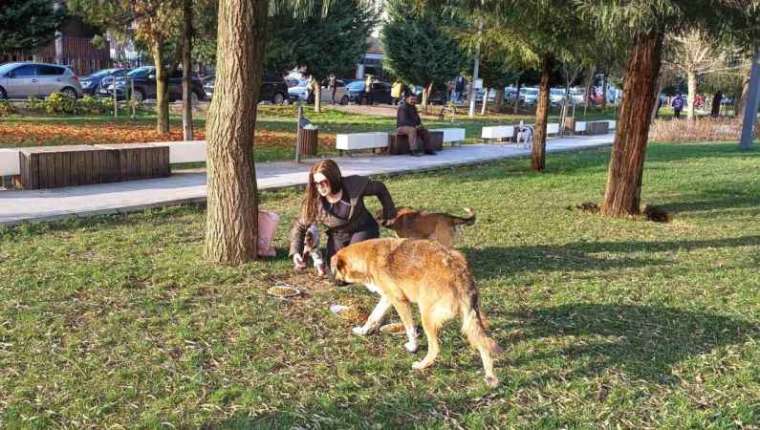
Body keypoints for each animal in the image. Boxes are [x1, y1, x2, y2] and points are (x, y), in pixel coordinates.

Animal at [332, 239, 498, 386]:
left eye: (334, 271)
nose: (331, 282)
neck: (368, 257)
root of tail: (459, 275)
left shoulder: (400, 302)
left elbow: (410, 329)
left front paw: (413, 347)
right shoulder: (388, 298)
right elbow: (373, 316)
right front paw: (363, 331)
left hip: (426, 317)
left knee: (435, 348)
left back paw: (421, 365)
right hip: (473, 320)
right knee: (484, 344)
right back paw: (490, 377)